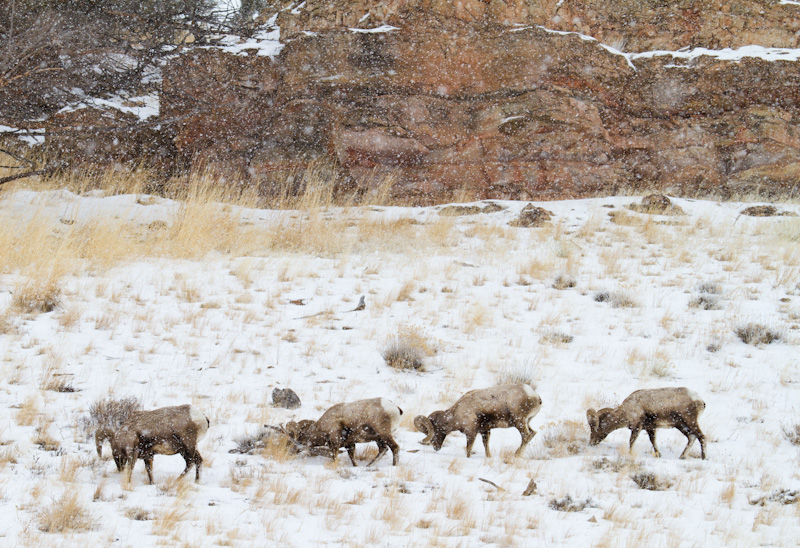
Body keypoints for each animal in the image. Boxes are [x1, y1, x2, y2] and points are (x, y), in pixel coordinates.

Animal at [412, 386, 544, 458]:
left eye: (433, 431)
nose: (435, 447)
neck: (456, 415)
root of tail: (536, 397)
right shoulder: (485, 431)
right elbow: (486, 446)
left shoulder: (471, 433)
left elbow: (468, 449)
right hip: (526, 422)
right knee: (532, 433)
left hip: (519, 422)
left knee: (526, 436)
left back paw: (516, 455)